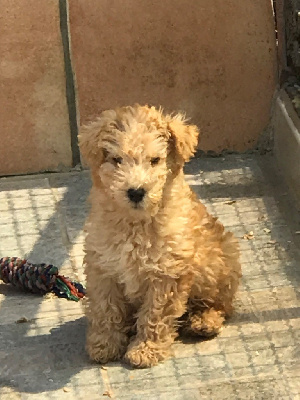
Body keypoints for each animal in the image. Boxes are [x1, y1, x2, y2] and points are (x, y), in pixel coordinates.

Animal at [79, 104, 241, 368]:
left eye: (155, 160)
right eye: (117, 160)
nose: (136, 192)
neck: (135, 225)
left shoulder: (167, 272)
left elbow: (155, 315)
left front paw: (146, 349)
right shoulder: (103, 267)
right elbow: (106, 309)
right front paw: (104, 344)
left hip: (220, 264)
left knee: (219, 304)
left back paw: (204, 321)